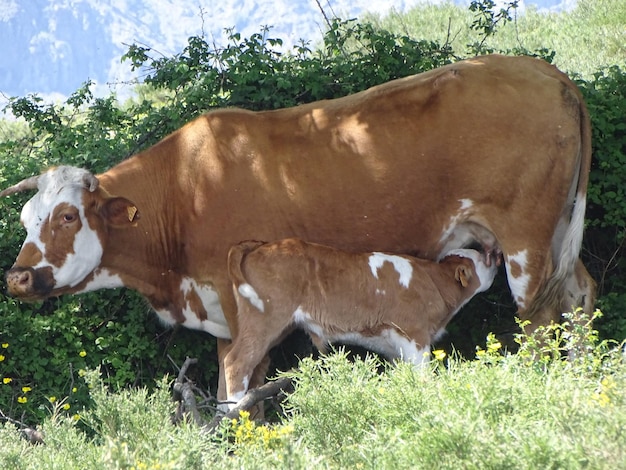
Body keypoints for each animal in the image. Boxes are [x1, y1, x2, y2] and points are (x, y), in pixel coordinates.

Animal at [224, 239, 498, 408]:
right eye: (482, 258)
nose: (496, 254)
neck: (432, 281)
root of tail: (262, 244)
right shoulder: (415, 335)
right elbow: (423, 376)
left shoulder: (395, 346)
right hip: (265, 318)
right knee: (236, 362)